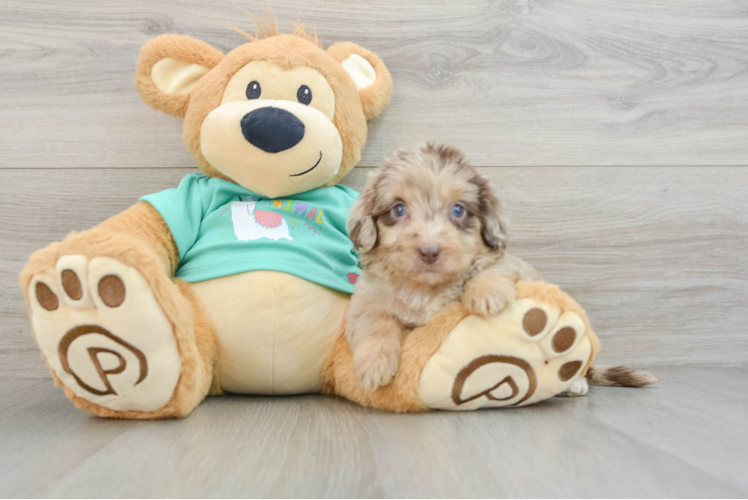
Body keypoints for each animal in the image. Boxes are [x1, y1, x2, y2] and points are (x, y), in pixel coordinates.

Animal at [344, 144, 536, 390]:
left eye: (458, 210)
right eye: (398, 210)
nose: (429, 251)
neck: (424, 289)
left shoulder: (514, 266)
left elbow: (494, 265)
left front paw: (486, 293)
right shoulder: (365, 303)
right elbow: (375, 323)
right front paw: (374, 365)